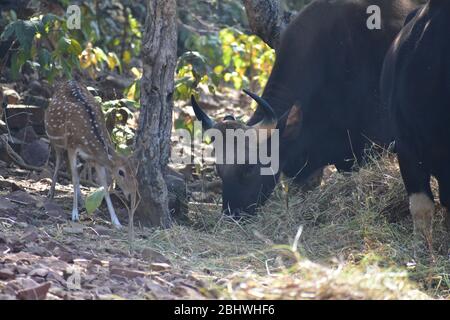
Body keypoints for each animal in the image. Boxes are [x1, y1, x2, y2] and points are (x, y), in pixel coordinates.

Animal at [45, 79, 139, 234]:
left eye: (134, 171)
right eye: (121, 172)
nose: (132, 193)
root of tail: (69, 80)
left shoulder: (96, 159)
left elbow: (104, 187)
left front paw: (116, 222)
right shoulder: (72, 146)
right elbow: (75, 179)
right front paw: (75, 215)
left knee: (75, 169)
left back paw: (81, 200)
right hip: (56, 140)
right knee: (59, 162)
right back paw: (51, 193)